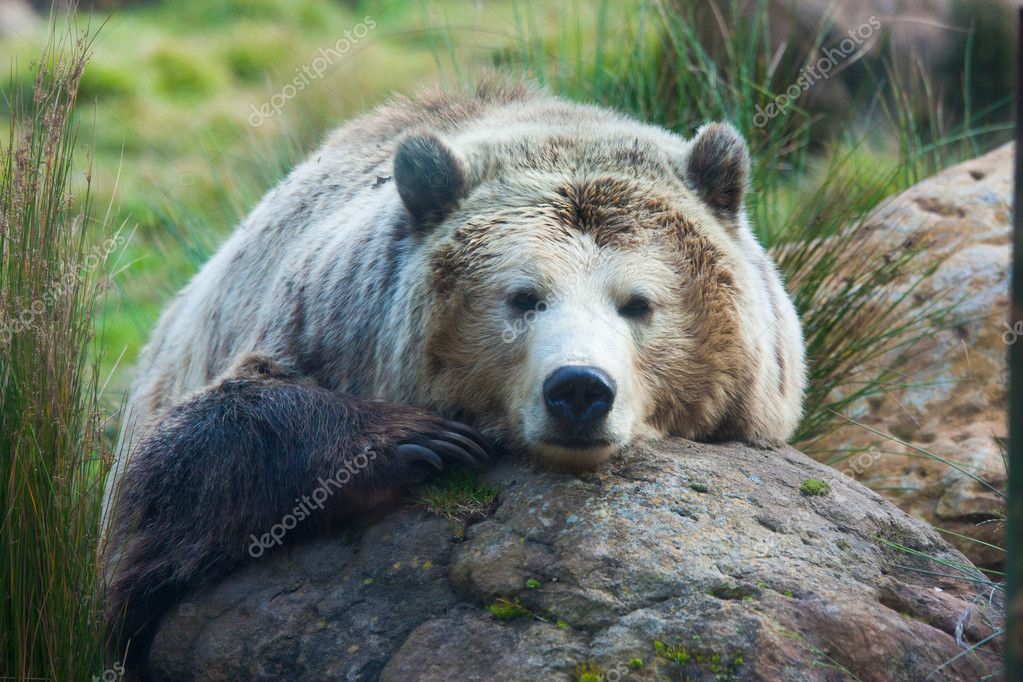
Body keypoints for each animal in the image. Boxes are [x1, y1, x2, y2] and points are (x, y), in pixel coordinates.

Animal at [101, 77, 805, 665]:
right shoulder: (313, 326)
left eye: (637, 303)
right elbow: (176, 468)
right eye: (524, 297)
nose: (579, 389)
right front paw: (418, 442)